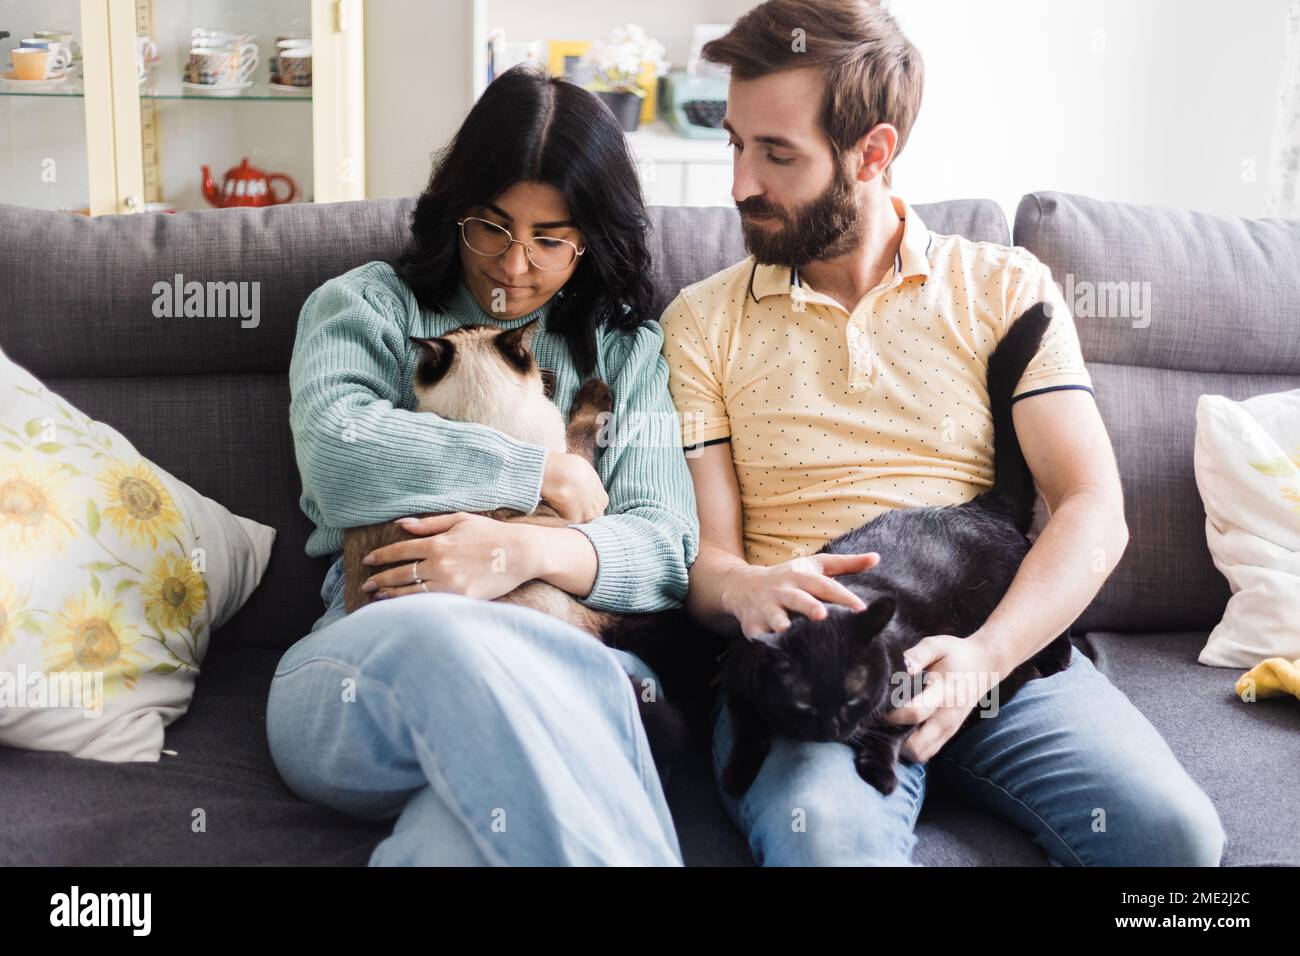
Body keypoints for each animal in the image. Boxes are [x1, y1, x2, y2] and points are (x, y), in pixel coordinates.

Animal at [717, 304, 1071, 801]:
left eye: (851, 696)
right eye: (803, 701)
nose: (833, 731)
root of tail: (984, 504)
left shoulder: (921, 676)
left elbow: (895, 727)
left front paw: (881, 770)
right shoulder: (738, 679)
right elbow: (747, 728)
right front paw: (737, 775)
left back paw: (1056, 661)